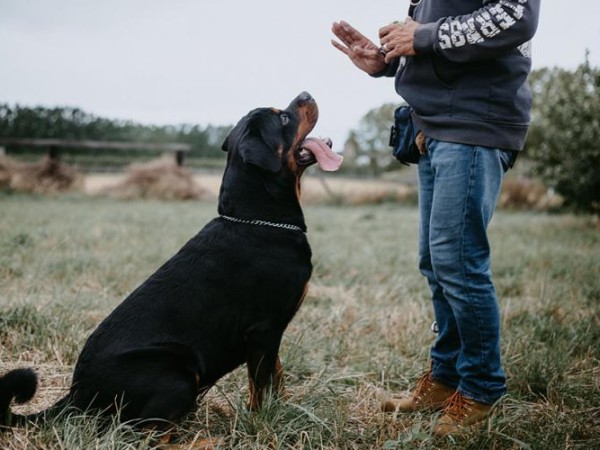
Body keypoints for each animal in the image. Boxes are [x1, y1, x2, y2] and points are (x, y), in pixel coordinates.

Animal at [0, 91, 342, 432]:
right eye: (282, 117)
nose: (306, 94)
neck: (258, 218)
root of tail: (76, 395)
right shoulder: (264, 331)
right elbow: (261, 388)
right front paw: (264, 424)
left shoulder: (270, 336)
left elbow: (277, 379)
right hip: (177, 376)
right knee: (144, 432)